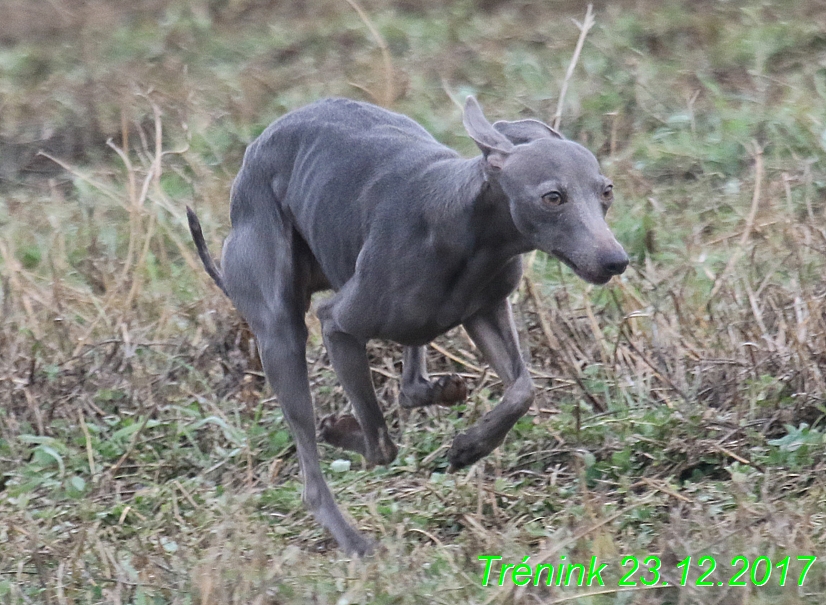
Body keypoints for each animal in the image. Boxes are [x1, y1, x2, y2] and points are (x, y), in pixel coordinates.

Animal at [185, 96, 624, 556]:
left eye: (606, 191)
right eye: (553, 197)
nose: (616, 260)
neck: (467, 228)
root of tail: (256, 148)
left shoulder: (487, 309)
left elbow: (522, 389)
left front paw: (470, 446)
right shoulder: (338, 326)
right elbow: (380, 443)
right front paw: (339, 430)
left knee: (411, 377)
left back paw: (438, 392)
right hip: (279, 333)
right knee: (313, 476)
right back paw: (355, 540)